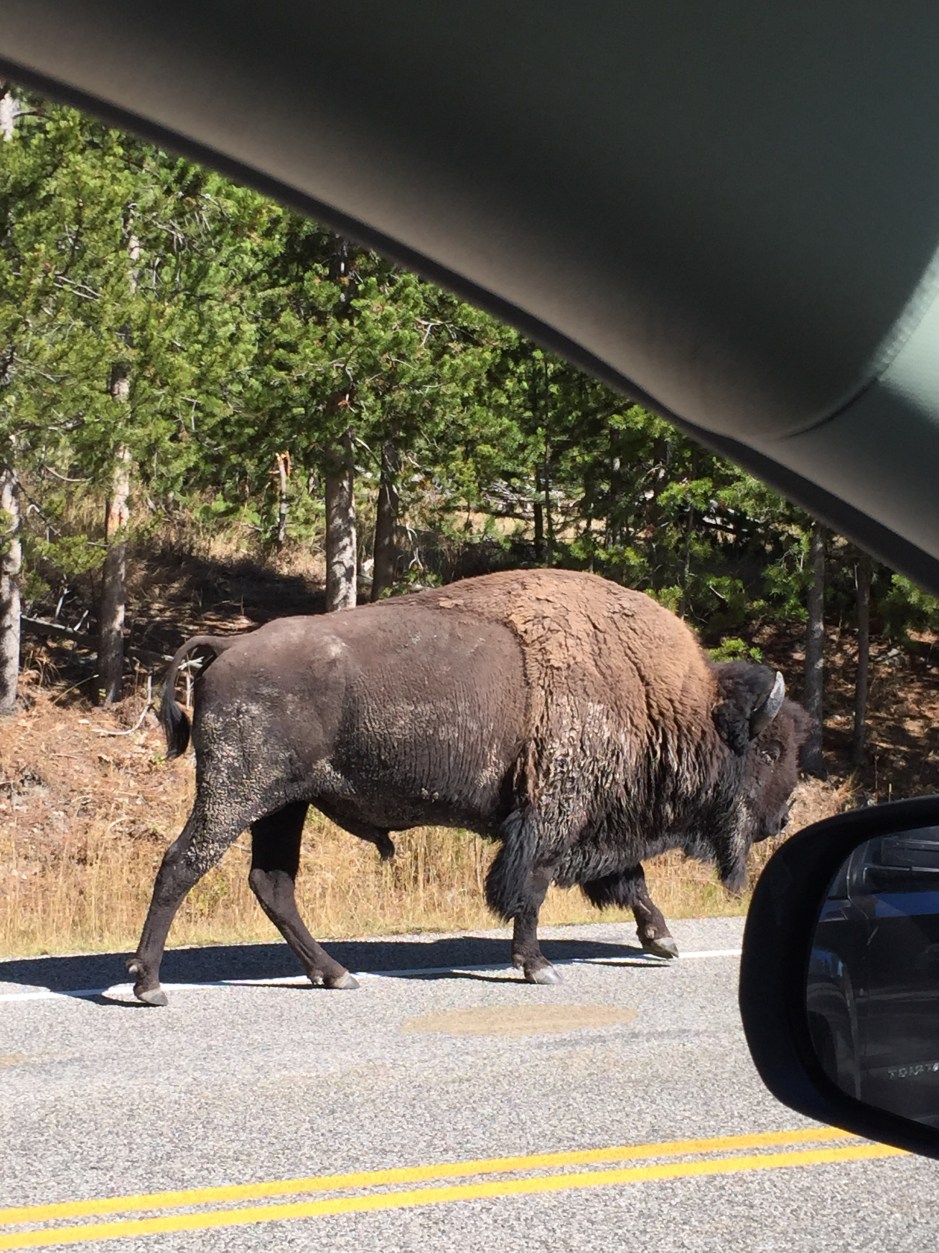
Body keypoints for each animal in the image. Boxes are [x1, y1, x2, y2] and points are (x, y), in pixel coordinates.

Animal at [128, 568, 811, 1005]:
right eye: (769, 748)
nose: (781, 818)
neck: (660, 700)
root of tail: (228, 644)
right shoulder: (551, 820)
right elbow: (533, 891)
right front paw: (539, 968)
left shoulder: (591, 824)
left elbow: (630, 882)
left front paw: (663, 942)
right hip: (238, 795)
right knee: (180, 864)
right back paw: (149, 984)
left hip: (283, 806)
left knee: (272, 883)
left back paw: (335, 975)